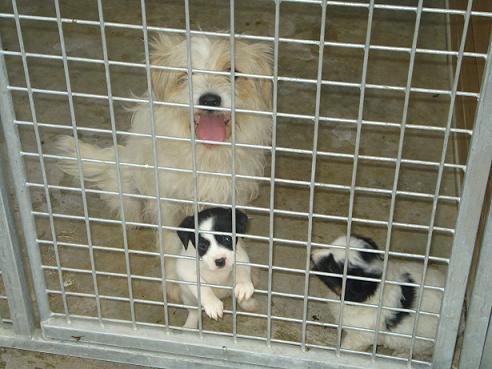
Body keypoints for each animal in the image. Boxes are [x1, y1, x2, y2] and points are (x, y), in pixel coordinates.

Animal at [58, 33, 274, 300]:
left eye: (232, 72)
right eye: (186, 74)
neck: (205, 155)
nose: (210, 99)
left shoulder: (233, 195)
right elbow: (173, 242)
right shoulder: (168, 204)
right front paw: (175, 279)